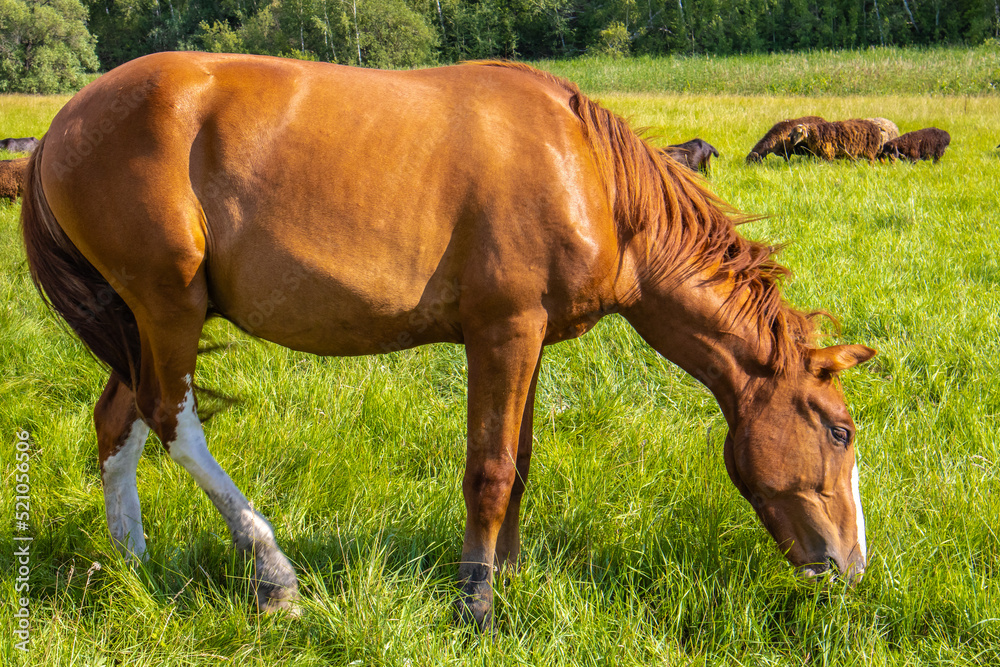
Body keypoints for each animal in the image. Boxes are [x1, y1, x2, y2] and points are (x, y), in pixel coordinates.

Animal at [21, 53, 876, 630]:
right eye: (839, 430)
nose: (851, 568)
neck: (586, 169)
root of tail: (63, 123)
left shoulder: (532, 340)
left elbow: (520, 464)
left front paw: (511, 572)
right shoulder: (504, 330)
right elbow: (490, 471)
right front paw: (476, 600)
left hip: (139, 316)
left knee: (120, 421)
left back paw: (134, 564)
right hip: (169, 305)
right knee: (173, 422)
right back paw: (271, 573)